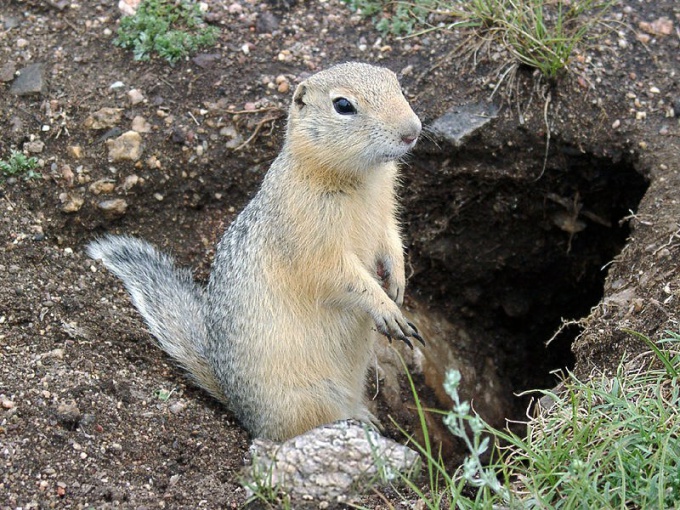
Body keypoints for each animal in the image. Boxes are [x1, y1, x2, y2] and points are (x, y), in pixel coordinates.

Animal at [87, 61, 422, 440]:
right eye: (343, 105)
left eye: (397, 84)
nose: (412, 131)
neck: (363, 179)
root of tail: (238, 405)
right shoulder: (311, 238)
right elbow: (339, 275)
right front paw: (385, 307)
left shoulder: (385, 211)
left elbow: (391, 240)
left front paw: (397, 282)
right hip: (306, 400)